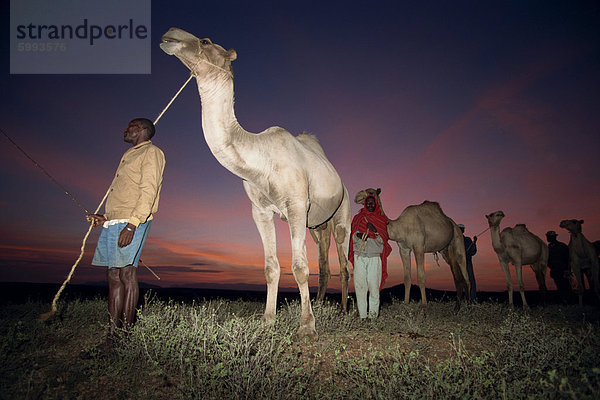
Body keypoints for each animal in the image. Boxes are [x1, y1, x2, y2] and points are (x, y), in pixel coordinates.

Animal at [162, 28, 354, 338]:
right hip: (317, 226)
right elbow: (270, 267)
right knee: (324, 262)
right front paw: (268, 321)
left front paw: (306, 327)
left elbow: (299, 266)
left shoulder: (296, 204)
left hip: (342, 214)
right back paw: (323, 304)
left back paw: (348, 311)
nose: (169, 35)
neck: (260, 159)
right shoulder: (260, 211)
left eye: (205, 41)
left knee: (344, 260)